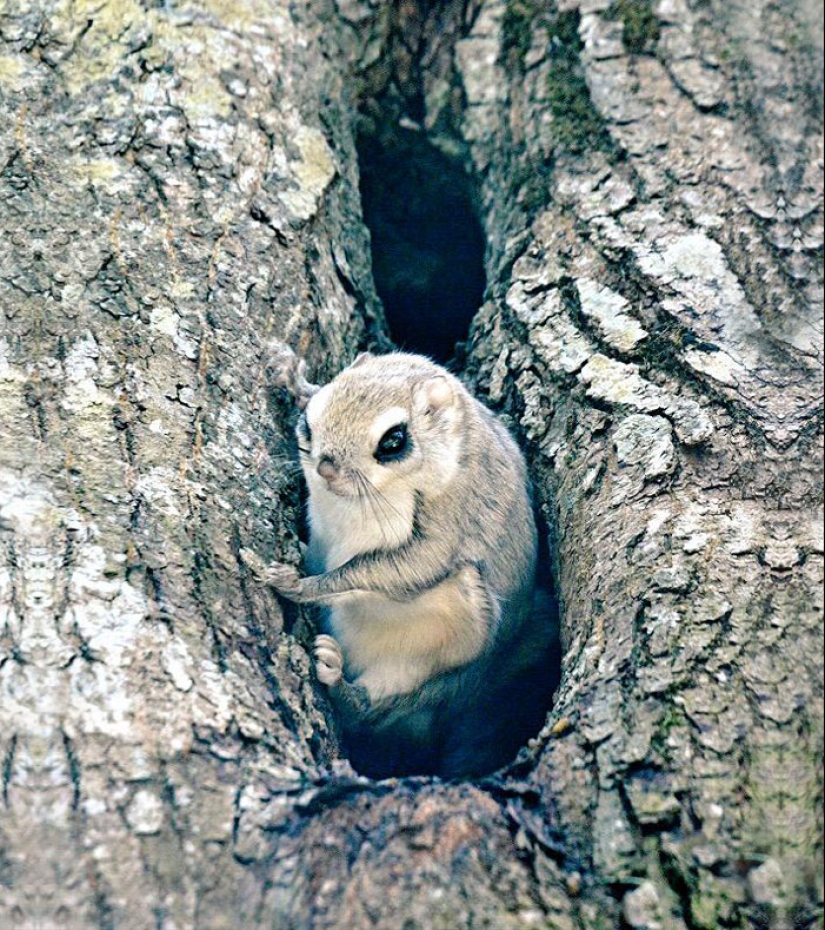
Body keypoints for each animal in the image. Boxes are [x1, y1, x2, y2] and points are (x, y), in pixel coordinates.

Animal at [245, 344, 552, 772]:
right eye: (309, 421)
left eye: (394, 441)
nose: (326, 468)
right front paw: (292, 375)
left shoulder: (450, 522)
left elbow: (397, 567)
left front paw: (298, 585)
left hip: (430, 652)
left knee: (375, 710)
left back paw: (341, 684)